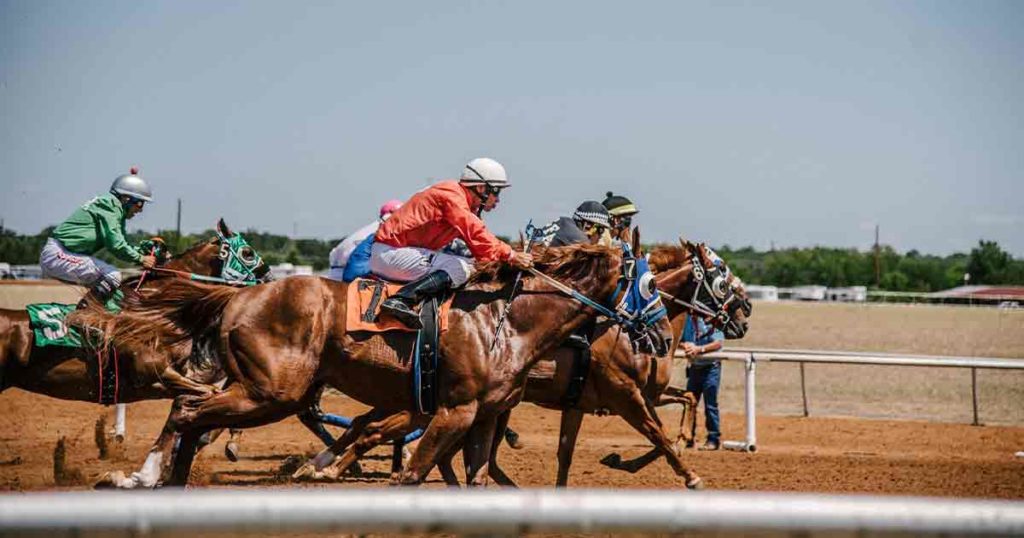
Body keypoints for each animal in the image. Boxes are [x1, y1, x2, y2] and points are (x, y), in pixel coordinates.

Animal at [86, 238, 675, 488]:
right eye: (649, 284)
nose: (666, 337)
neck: (507, 321)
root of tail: (240, 294)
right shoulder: (455, 411)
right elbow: (412, 474)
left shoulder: (483, 417)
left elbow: (477, 478)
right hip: (272, 392)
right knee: (188, 412)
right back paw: (145, 476)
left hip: (266, 389)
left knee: (192, 412)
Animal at [293, 236, 750, 488]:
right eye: (721, 277)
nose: (744, 314)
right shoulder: (625, 393)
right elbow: (659, 435)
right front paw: (686, 473)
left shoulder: (588, 402)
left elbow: (570, 451)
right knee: (378, 430)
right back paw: (327, 467)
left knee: (372, 427)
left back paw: (325, 465)